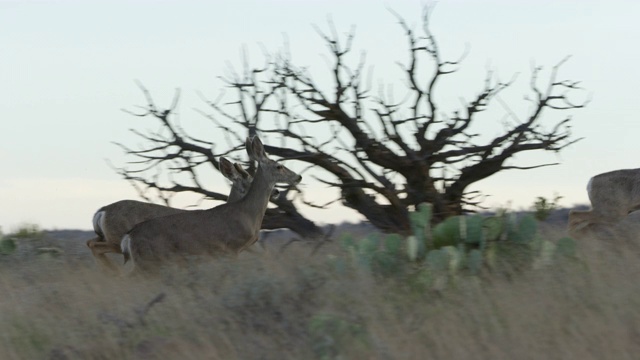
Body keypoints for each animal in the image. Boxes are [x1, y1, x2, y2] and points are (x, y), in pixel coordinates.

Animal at [84, 158, 276, 272]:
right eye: (249, 180)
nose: (276, 192)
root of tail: (102, 211)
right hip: (117, 239)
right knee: (95, 246)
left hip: (109, 238)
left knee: (91, 243)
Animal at [122, 137, 302, 272]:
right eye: (279, 166)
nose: (298, 177)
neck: (247, 214)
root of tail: (129, 236)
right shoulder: (231, 247)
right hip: (150, 259)